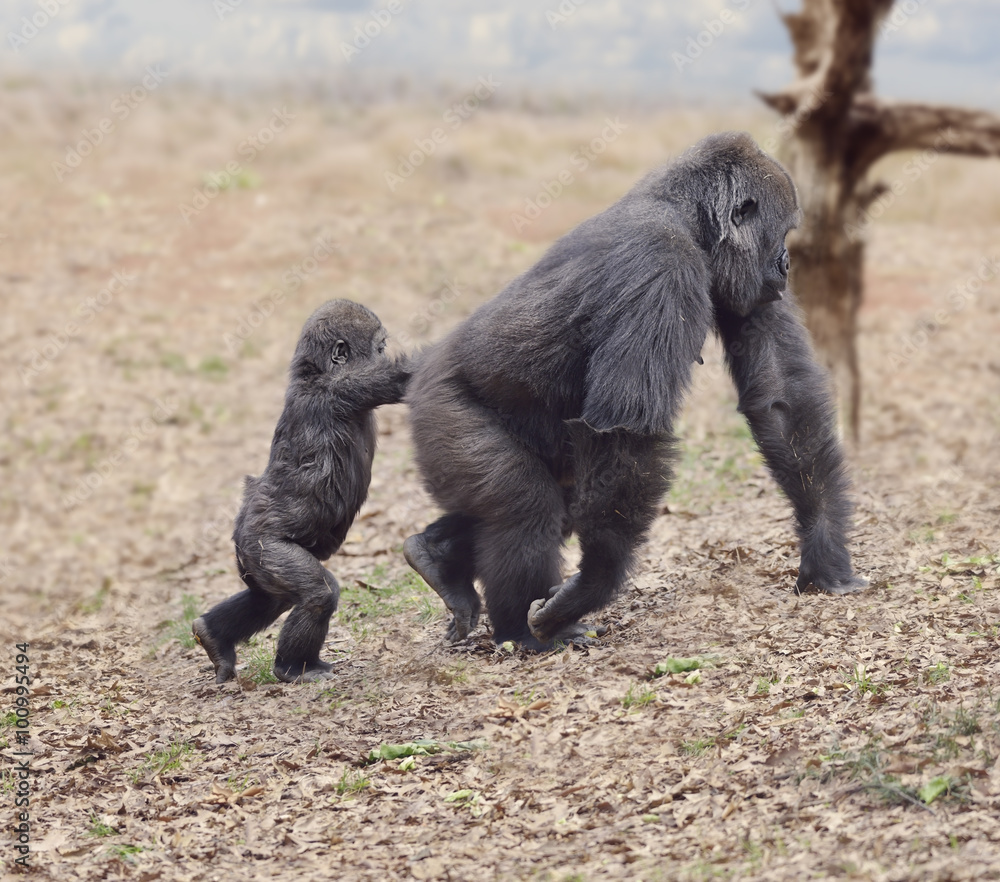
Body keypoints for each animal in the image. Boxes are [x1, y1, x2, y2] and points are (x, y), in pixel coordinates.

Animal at [191, 300, 410, 684]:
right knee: (317, 594)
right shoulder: (346, 387)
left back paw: (214, 637)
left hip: (251, 561)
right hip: (262, 547)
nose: (383, 354)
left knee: (268, 600)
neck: (314, 373)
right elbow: (407, 375)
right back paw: (293, 667)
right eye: (380, 347)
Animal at [402, 134, 864, 648]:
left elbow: (780, 394)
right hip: (442, 411)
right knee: (524, 508)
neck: (688, 218)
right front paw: (593, 583)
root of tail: (420, 371)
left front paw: (825, 551)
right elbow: (626, 432)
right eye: (781, 233)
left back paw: (437, 557)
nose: (786, 265)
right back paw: (524, 630)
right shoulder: (661, 264)